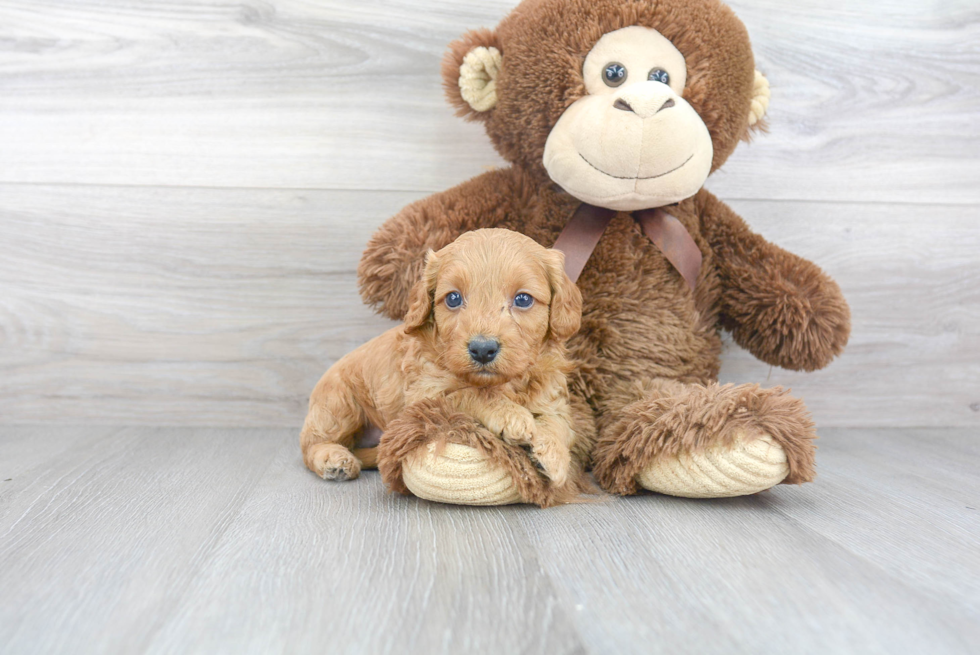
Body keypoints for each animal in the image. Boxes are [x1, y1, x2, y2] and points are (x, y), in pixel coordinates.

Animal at [300, 228, 580, 490]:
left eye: (523, 299)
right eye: (453, 298)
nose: (482, 349)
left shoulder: (552, 398)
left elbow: (560, 424)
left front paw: (553, 454)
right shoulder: (423, 395)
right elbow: (470, 393)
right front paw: (510, 415)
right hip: (339, 405)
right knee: (309, 444)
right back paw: (333, 459)